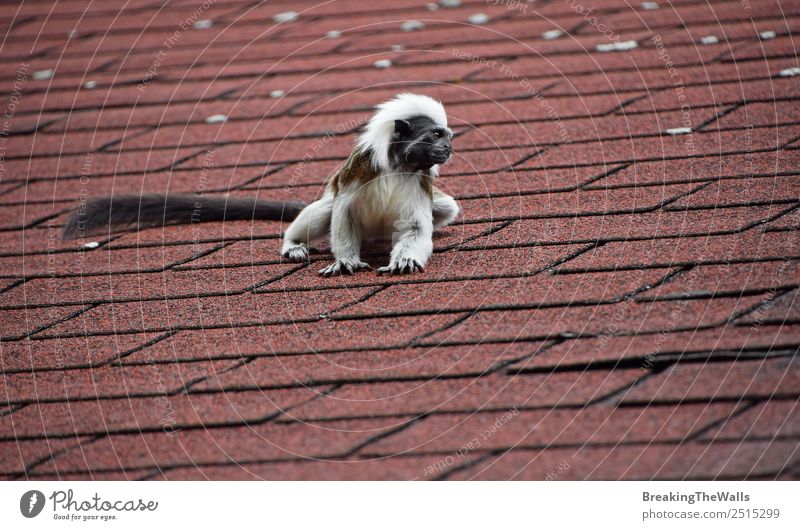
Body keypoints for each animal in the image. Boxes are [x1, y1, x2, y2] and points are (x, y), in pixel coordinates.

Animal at [282, 93, 460, 274]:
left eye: (448, 138)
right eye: (437, 134)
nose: (448, 147)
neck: (399, 166)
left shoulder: (422, 181)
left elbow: (415, 226)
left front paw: (405, 260)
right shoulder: (359, 168)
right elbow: (344, 212)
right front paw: (346, 261)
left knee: (447, 208)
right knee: (327, 207)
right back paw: (293, 243)